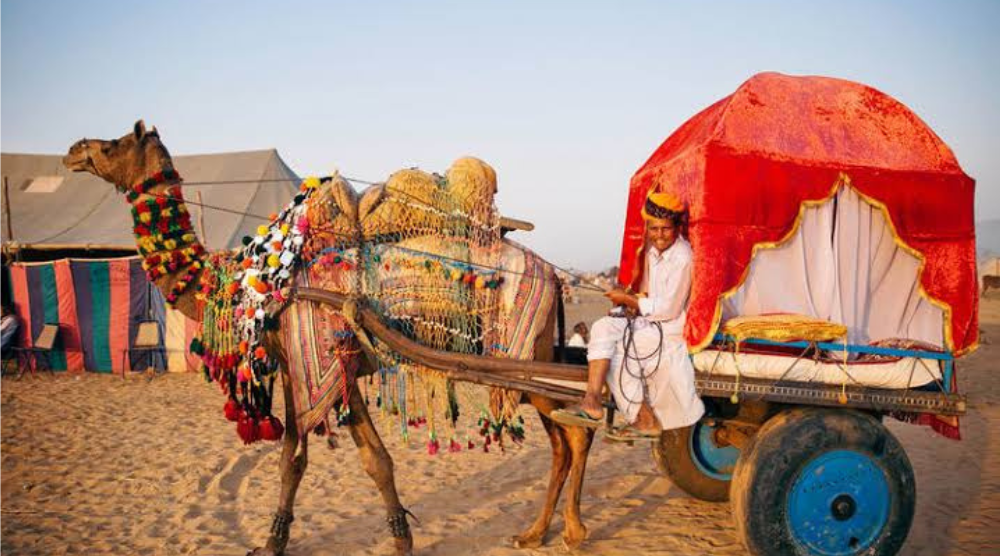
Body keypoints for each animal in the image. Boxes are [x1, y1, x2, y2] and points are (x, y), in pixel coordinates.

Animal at [63, 121, 597, 555]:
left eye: (113, 144)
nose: (73, 150)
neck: (251, 281)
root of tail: (555, 276)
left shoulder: (307, 360)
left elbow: (293, 459)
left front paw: (273, 540)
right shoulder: (341, 362)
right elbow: (374, 458)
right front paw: (401, 537)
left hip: (523, 357)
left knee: (576, 430)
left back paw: (571, 532)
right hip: (529, 362)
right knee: (565, 436)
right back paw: (536, 532)